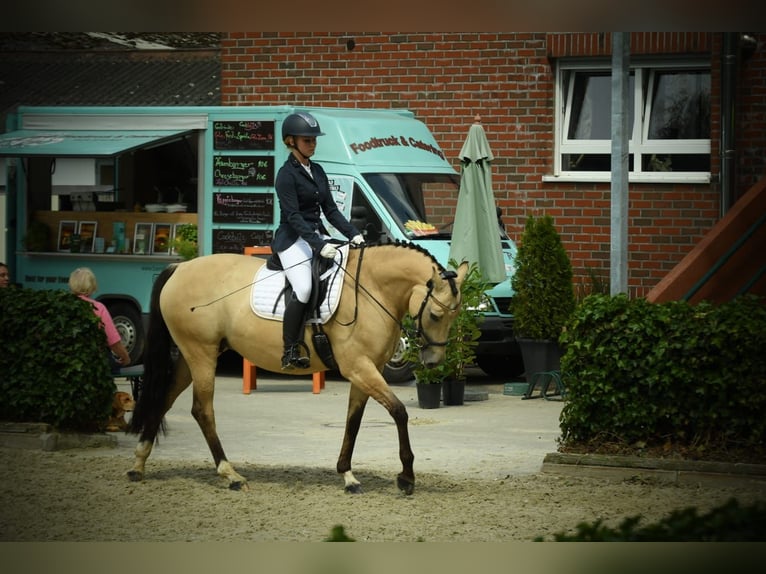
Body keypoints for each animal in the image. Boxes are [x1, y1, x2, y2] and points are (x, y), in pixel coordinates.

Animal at [126, 242, 468, 496]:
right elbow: (399, 412)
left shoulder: (366, 371)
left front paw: (348, 476)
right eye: (436, 315)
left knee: (164, 399)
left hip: (191, 356)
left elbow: (353, 422)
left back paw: (139, 464)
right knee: (202, 409)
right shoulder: (359, 367)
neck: (370, 288)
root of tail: (180, 267)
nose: (433, 362)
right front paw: (406, 477)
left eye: (456, 315)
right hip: (201, 354)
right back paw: (231, 474)